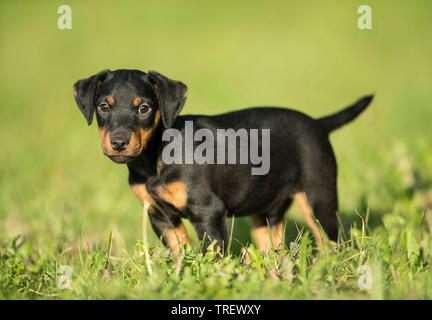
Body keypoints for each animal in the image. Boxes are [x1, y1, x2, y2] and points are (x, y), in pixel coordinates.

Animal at [72, 70, 372, 252]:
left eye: (144, 108)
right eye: (103, 107)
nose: (119, 143)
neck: (156, 156)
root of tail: (318, 124)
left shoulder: (208, 212)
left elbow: (212, 254)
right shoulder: (160, 216)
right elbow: (179, 252)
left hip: (318, 200)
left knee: (335, 243)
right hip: (266, 210)